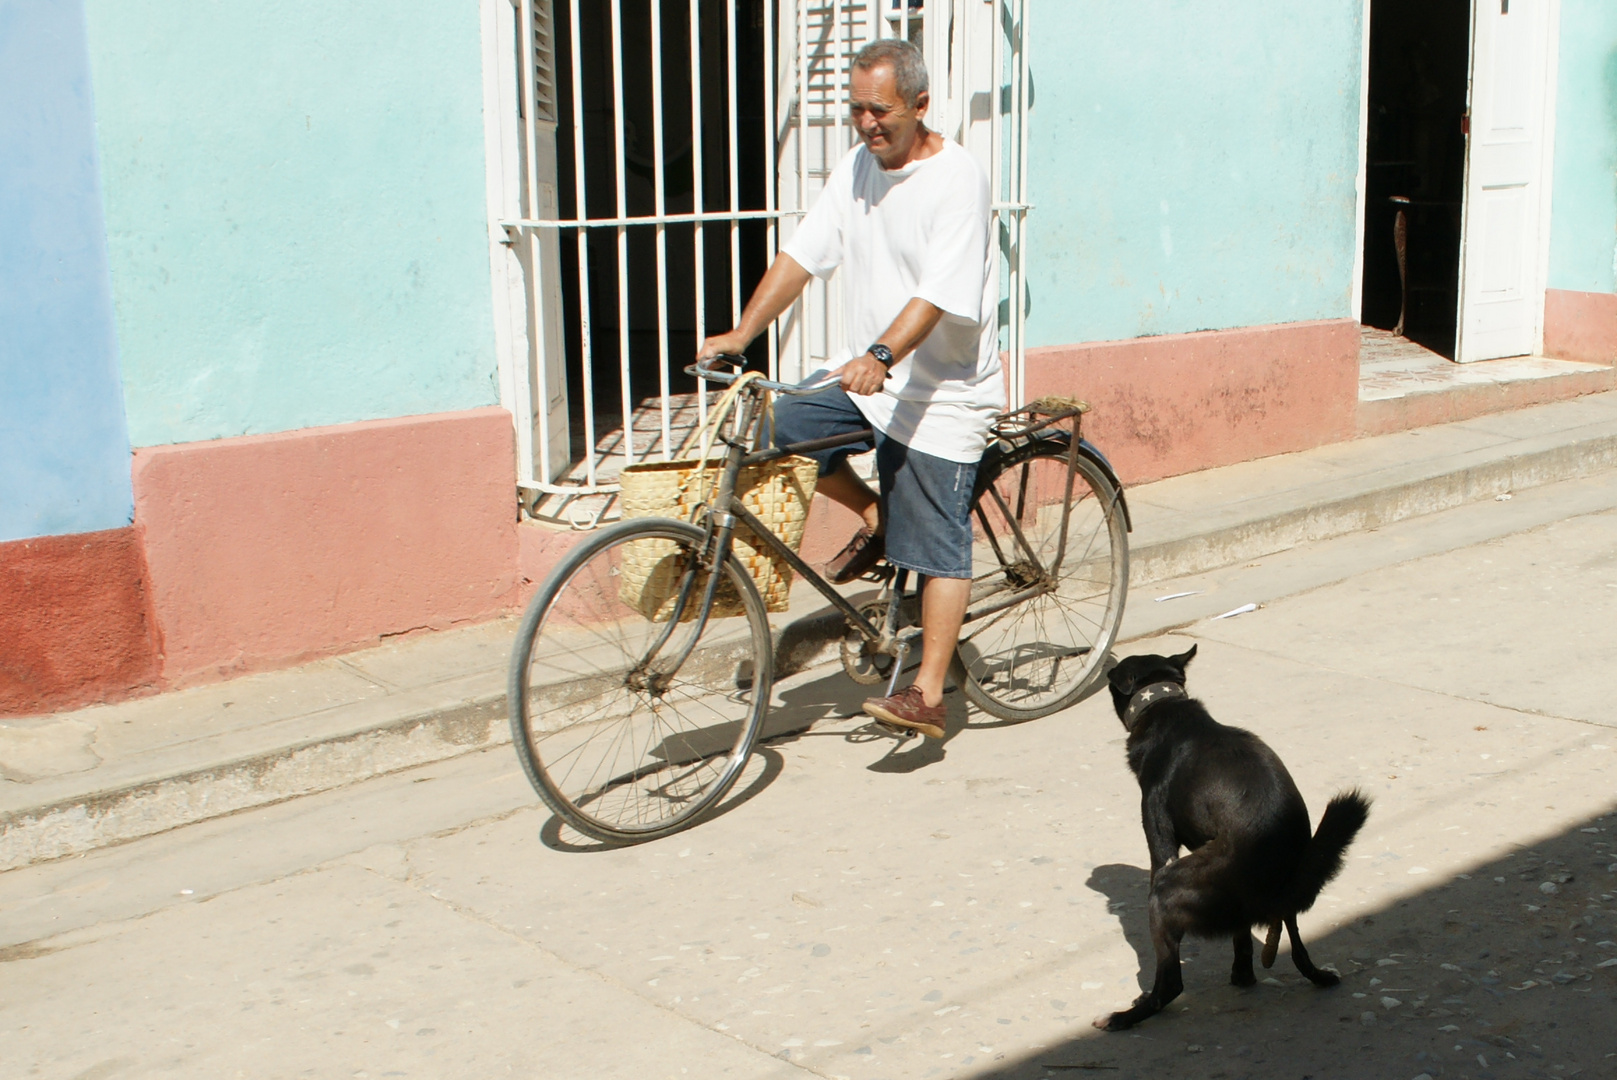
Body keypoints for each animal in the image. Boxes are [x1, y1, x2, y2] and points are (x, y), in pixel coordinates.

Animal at [1093, 646, 1371, 1034]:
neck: (1167, 709)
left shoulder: (1159, 836)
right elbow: (1243, 935)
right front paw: (1243, 972)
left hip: (1168, 887)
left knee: (1171, 983)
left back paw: (1126, 1016)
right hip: (1277, 905)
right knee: (1295, 940)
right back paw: (1316, 975)